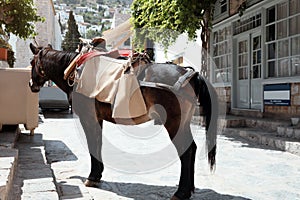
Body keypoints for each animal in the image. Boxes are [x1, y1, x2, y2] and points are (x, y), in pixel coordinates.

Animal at [28, 42, 218, 200]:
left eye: (31, 62)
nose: (31, 84)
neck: (75, 70)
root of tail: (191, 75)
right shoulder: (98, 119)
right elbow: (98, 143)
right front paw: (98, 175)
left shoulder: (88, 119)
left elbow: (92, 145)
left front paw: (92, 177)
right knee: (192, 148)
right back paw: (189, 189)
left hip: (174, 123)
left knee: (186, 152)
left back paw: (181, 192)